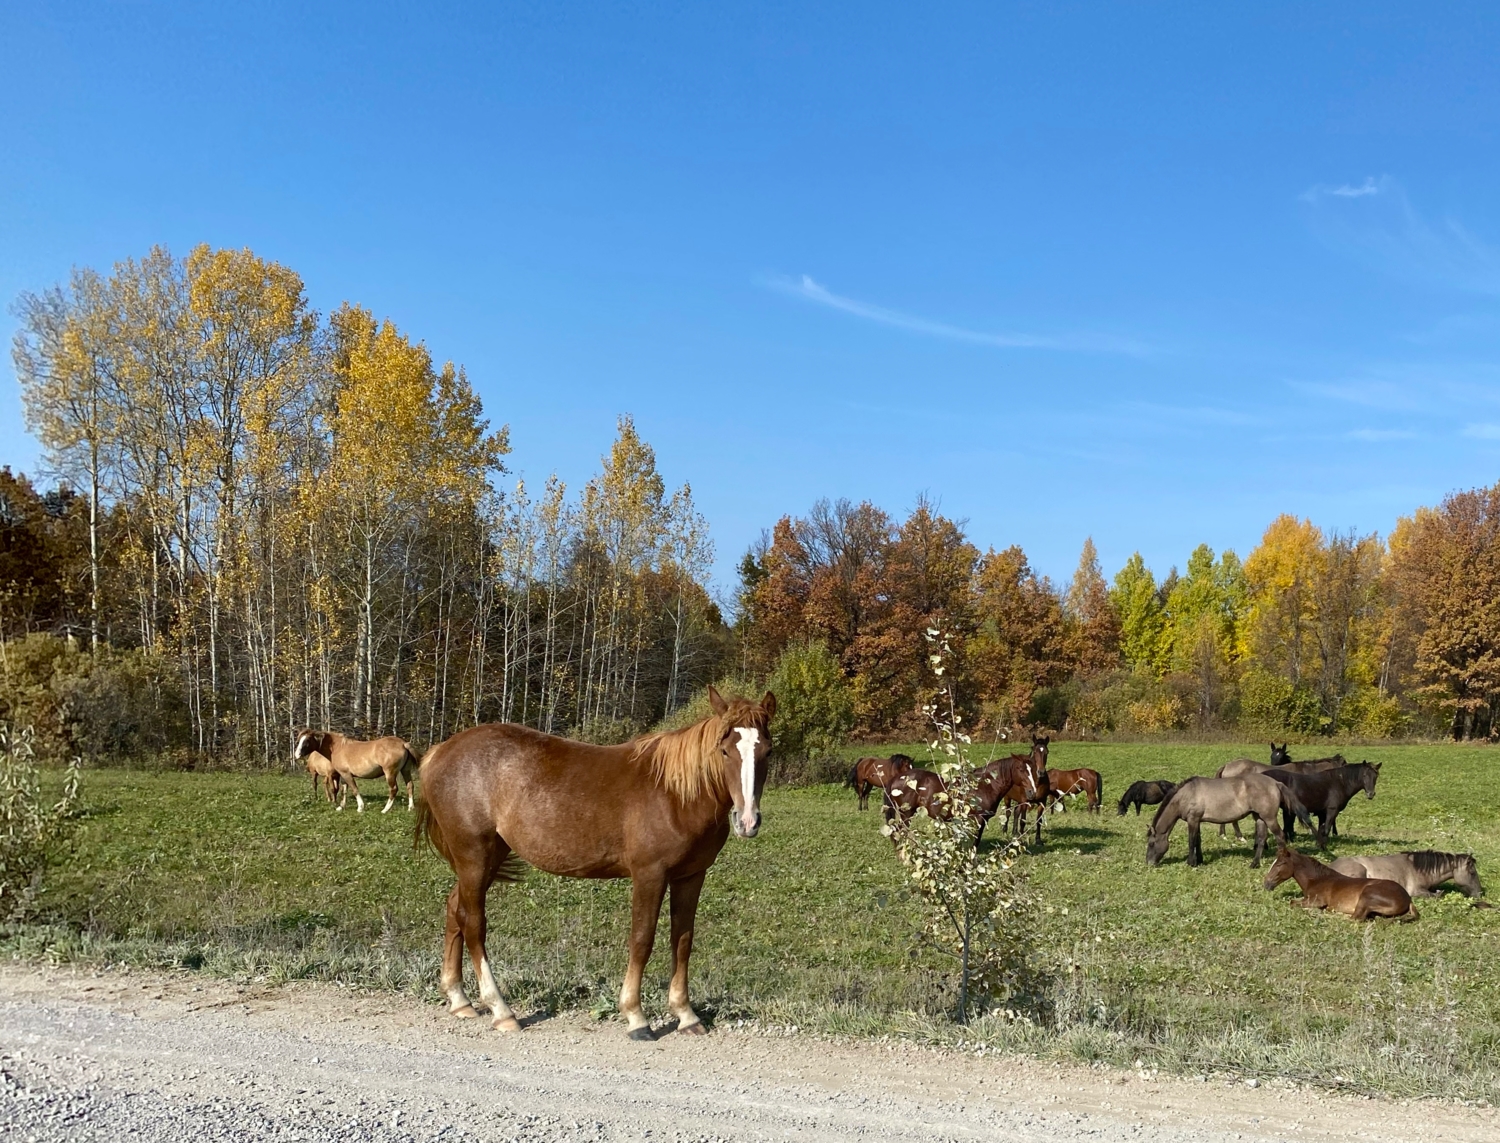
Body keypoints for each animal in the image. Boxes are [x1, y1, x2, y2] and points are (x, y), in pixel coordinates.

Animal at [294, 729, 423, 810]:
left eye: (307, 741)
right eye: (299, 740)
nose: (297, 755)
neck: (337, 747)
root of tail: (403, 744)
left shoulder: (346, 774)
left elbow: (354, 789)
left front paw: (360, 807)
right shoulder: (343, 775)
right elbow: (344, 790)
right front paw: (341, 807)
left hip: (390, 773)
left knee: (394, 789)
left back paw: (385, 810)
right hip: (405, 771)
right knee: (410, 786)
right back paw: (410, 808)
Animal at [417, 681, 780, 1038]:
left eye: (767, 751)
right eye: (725, 750)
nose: (748, 821)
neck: (676, 794)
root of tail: (440, 751)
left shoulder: (691, 876)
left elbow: (682, 940)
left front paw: (686, 1015)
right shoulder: (650, 875)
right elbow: (642, 939)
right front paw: (636, 1016)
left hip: (487, 857)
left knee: (456, 909)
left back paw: (459, 999)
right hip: (475, 856)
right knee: (474, 924)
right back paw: (501, 1010)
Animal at [1146, 774, 1314, 864]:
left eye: (1151, 843)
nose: (1148, 863)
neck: (1186, 795)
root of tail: (1275, 783)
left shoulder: (1192, 820)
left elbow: (1191, 841)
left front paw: (1191, 862)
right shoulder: (1197, 821)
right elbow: (1198, 841)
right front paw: (1200, 860)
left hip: (1269, 818)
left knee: (1280, 836)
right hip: (1259, 817)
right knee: (1261, 838)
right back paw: (1254, 864)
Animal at [1266, 840, 1416, 924]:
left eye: (1280, 864)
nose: (1266, 883)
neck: (1316, 880)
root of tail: (1408, 898)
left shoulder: (1316, 901)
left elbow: (1292, 903)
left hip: (1367, 895)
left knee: (1356, 918)